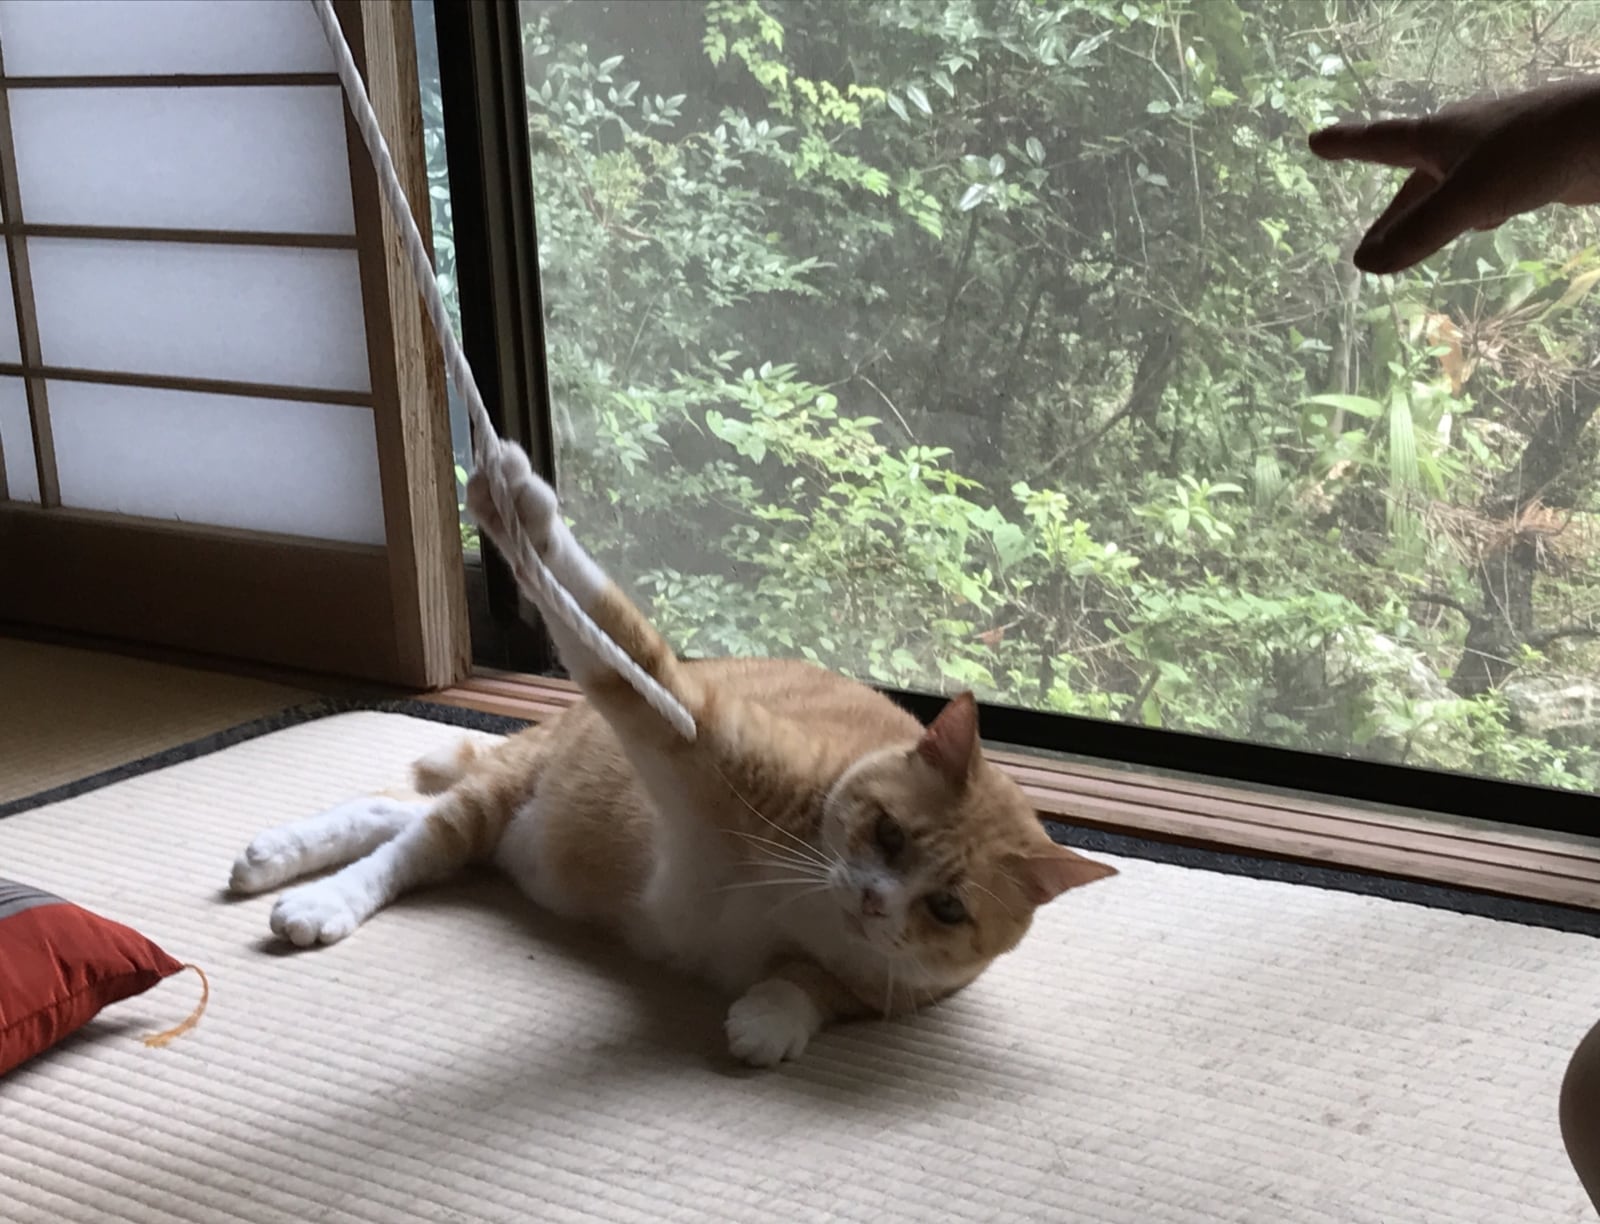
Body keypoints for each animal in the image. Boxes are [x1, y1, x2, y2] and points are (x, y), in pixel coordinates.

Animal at [228, 442, 1117, 1066]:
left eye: (948, 908)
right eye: (890, 834)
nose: (872, 901)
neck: (813, 894)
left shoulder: (895, 991)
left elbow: (815, 985)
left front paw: (770, 1018)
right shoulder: (683, 722)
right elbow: (607, 624)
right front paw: (519, 506)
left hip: (499, 819)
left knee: (402, 816)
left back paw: (274, 856)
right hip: (496, 799)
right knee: (412, 842)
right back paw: (313, 892)